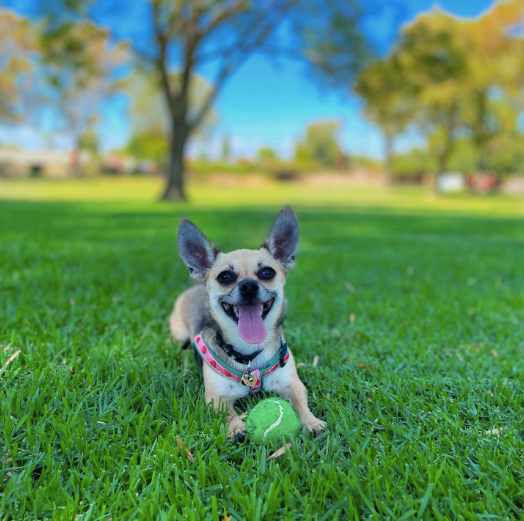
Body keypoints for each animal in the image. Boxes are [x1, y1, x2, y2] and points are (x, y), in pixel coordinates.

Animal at [169, 205, 324, 436]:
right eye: (225, 276)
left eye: (267, 272)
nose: (249, 286)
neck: (250, 355)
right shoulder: (216, 397)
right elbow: (228, 413)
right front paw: (236, 429)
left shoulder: (292, 384)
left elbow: (300, 403)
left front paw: (310, 422)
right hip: (179, 335)